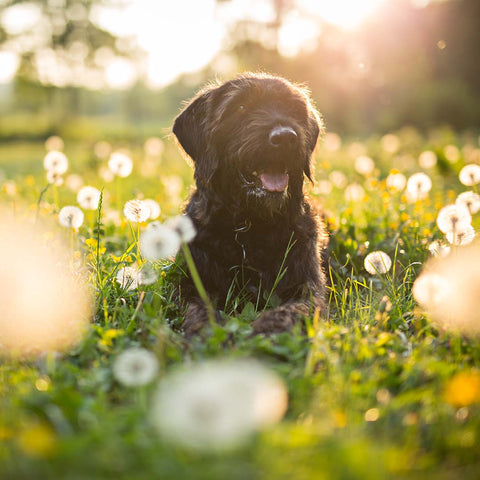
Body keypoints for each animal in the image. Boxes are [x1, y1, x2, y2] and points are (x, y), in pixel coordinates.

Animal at [173, 72, 330, 338]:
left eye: (293, 109)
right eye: (240, 107)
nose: (285, 137)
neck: (250, 228)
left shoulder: (308, 285)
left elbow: (295, 307)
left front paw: (270, 328)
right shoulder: (188, 282)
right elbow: (196, 307)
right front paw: (207, 330)